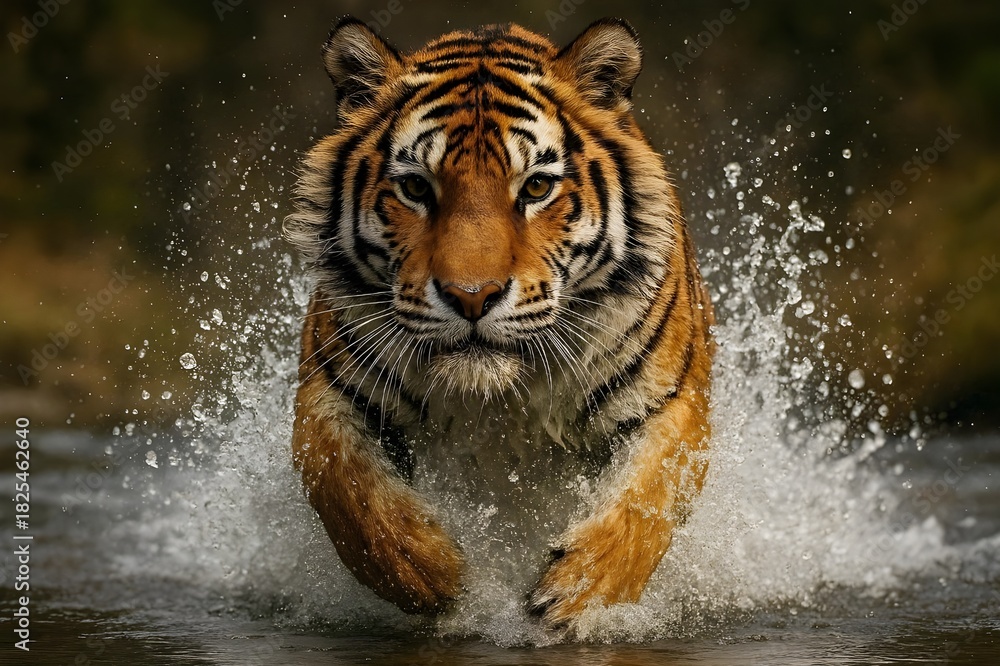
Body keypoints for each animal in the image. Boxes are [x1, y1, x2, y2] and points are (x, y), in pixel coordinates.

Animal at [282, 16, 715, 629]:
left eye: (535, 186)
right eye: (416, 187)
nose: (472, 297)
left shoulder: (671, 400)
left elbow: (647, 500)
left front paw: (578, 592)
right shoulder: (330, 390)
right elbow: (347, 488)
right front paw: (436, 576)